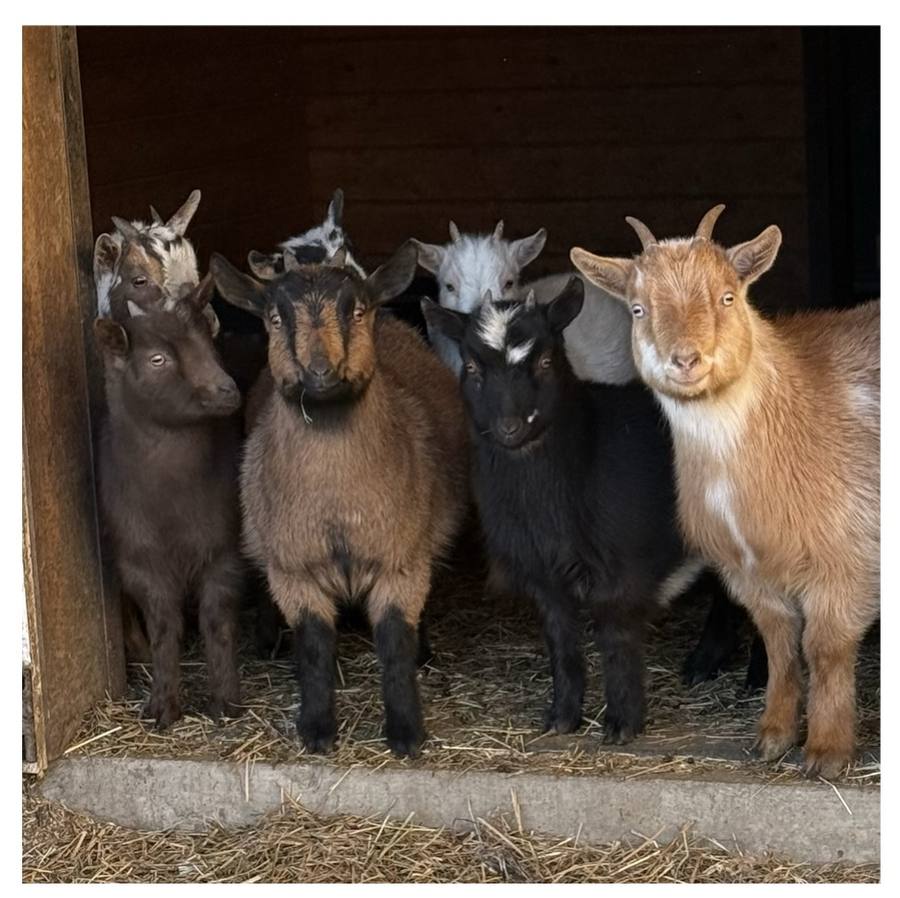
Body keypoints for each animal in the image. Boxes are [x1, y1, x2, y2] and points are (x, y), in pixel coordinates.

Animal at [94, 275, 243, 728]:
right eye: (157, 359)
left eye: (208, 343)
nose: (227, 390)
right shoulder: (139, 562)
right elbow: (164, 627)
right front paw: (163, 704)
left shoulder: (224, 551)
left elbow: (217, 622)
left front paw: (225, 701)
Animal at [210, 243, 469, 757]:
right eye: (275, 317)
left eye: (358, 310)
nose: (320, 372)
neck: (338, 507)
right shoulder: (295, 567)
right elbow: (313, 642)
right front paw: (316, 729)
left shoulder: (400, 561)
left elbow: (395, 642)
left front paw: (406, 733)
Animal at [423, 279, 707, 743]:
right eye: (472, 367)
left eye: (545, 360)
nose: (510, 427)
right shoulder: (544, 574)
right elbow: (560, 642)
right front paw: (562, 717)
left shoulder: (623, 570)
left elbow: (616, 639)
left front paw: (622, 723)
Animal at [571, 206, 879, 777]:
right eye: (639, 308)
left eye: (728, 296)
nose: (686, 360)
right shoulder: (748, 569)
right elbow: (780, 643)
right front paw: (774, 736)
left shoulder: (847, 559)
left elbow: (825, 649)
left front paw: (827, 752)